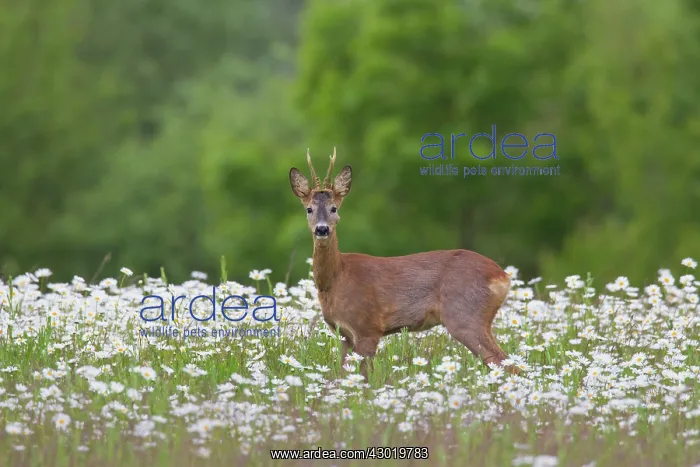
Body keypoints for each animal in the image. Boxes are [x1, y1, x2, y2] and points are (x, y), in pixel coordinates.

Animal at [289, 148, 519, 379]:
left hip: (466, 316)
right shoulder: (345, 335)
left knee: (506, 363)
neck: (336, 278)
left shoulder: (368, 328)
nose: (322, 229)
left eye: (334, 208)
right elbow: (341, 376)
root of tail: (502, 276)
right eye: (309, 209)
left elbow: (364, 378)